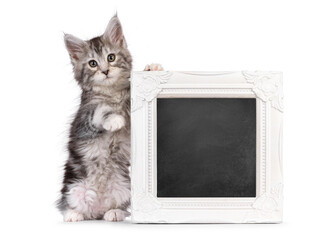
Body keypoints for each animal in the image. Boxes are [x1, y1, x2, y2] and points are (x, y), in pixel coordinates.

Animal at [56, 14, 163, 221]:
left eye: (111, 57)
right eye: (92, 63)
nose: (105, 71)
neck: (112, 93)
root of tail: (96, 209)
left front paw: (152, 69)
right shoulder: (83, 120)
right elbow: (100, 111)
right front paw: (114, 120)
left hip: (125, 186)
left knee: (119, 207)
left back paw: (113, 212)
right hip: (72, 186)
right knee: (66, 204)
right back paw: (73, 214)